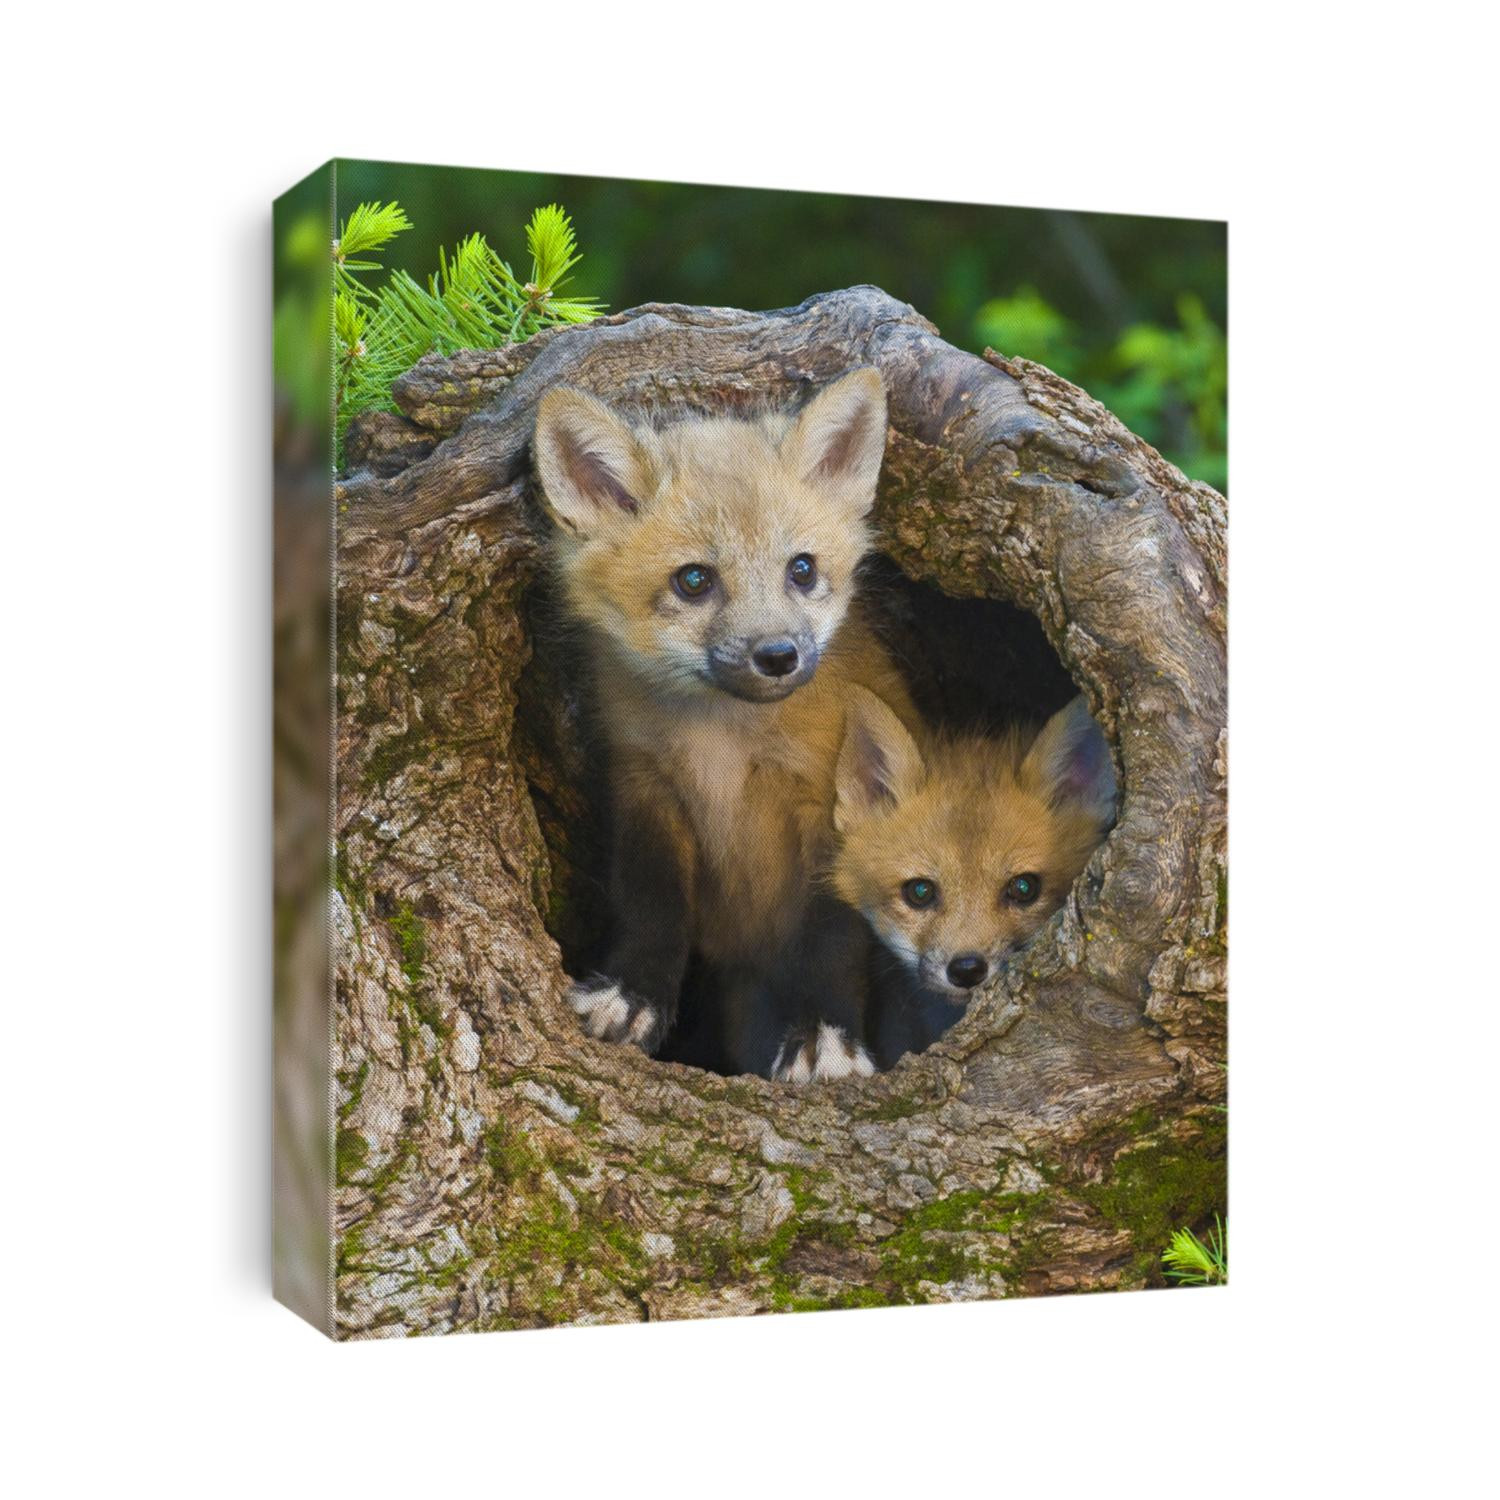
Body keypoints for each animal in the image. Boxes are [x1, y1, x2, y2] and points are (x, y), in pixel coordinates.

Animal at [532, 369, 918, 1078]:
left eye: (802, 569)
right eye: (694, 580)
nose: (778, 654)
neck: (724, 746)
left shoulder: (833, 812)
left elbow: (833, 940)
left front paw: (825, 1037)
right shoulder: (646, 789)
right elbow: (653, 905)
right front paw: (633, 996)